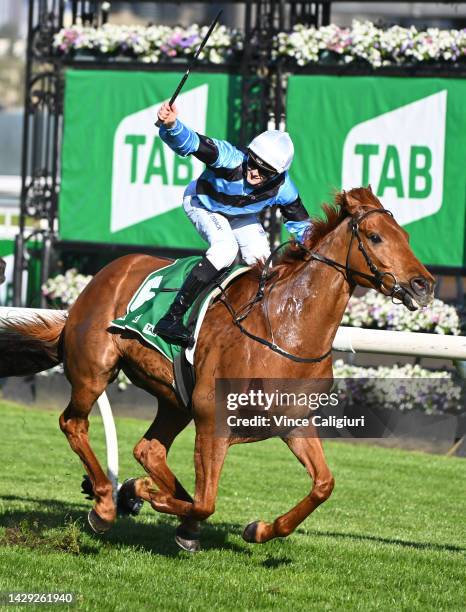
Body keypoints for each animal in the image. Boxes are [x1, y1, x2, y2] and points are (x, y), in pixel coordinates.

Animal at [1, 188, 436, 548]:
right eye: (376, 237)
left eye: (406, 236)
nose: (424, 285)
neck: (286, 331)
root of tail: (103, 276)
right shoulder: (214, 420)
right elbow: (206, 501)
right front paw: (141, 495)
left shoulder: (293, 422)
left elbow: (323, 485)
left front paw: (258, 529)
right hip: (95, 370)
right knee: (74, 423)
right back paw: (108, 502)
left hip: (174, 398)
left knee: (149, 449)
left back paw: (132, 497)